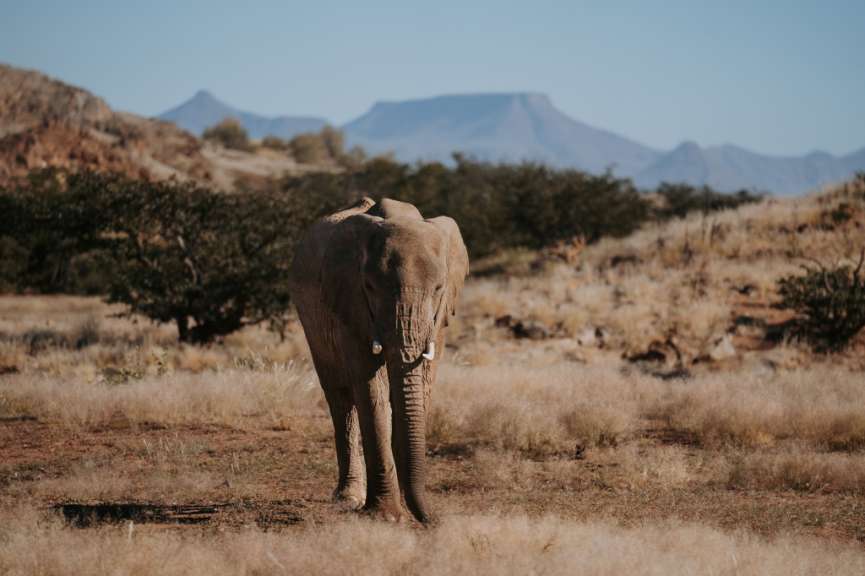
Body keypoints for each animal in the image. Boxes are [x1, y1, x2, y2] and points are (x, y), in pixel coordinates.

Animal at [288, 197, 469, 524]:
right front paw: (386, 516)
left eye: (438, 288)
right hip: (311, 321)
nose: (434, 520)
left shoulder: (439, 319)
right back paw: (348, 497)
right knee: (340, 398)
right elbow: (370, 389)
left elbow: (421, 383)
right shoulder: (350, 303)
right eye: (370, 287)